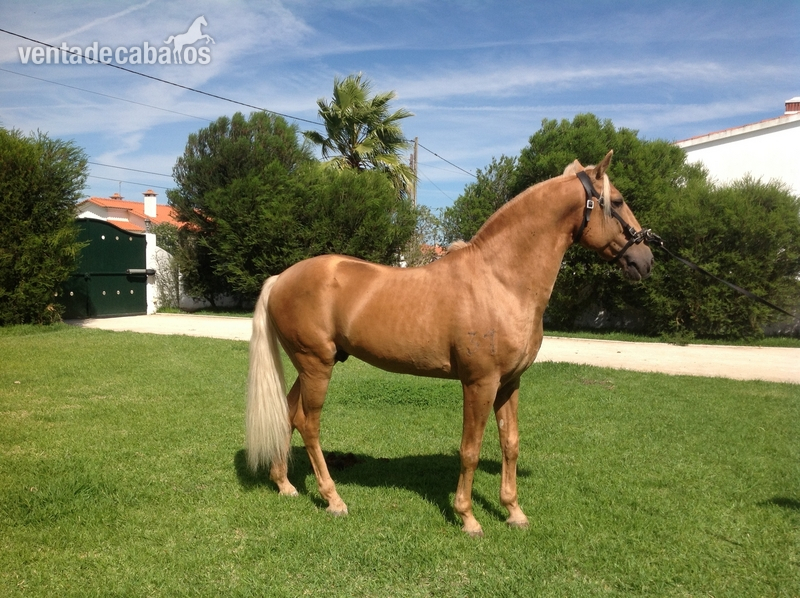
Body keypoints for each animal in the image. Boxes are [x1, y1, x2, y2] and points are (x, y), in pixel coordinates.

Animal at [246, 151, 654, 536]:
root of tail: (281, 278)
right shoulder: (479, 383)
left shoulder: (509, 383)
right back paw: (333, 499)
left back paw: (284, 484)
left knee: (288, 414)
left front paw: (514, 512)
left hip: (312, 365)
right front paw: (468, 518)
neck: (501, 280)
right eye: (617, 202)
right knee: (308, 423)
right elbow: (470, 450)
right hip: (316, 365)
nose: (645, 260)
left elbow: (510, 443)